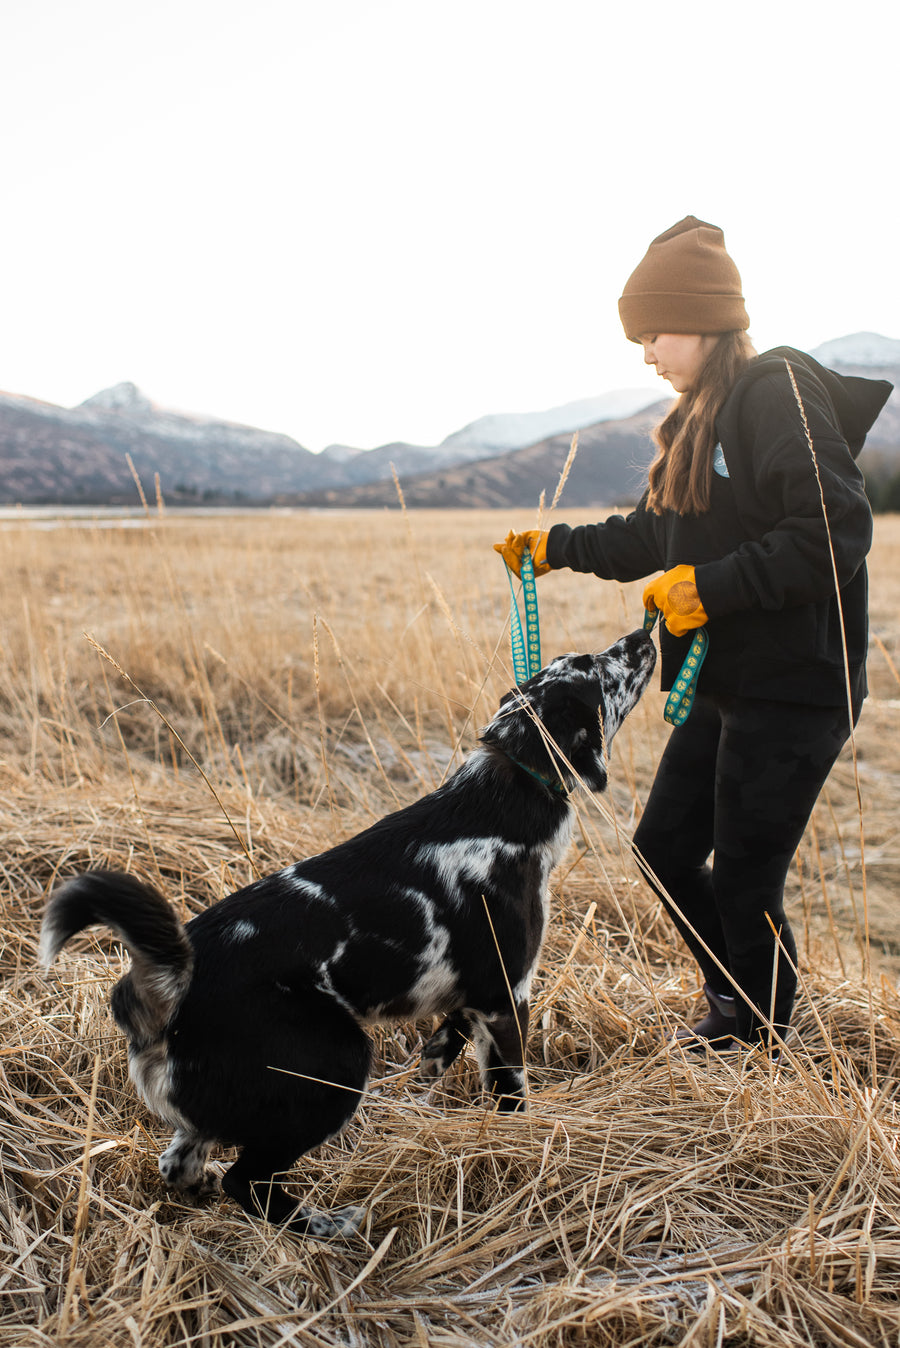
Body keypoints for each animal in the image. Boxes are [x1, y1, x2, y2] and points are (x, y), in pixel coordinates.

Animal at [40, 628, 654, 1234]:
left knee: (181, 1165)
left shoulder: (472, 994)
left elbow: (444, 1045)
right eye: (597, 667)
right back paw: (328, 1225)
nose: (643, 635)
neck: (506, 793)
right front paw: (520, 1147)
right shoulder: (507, 996)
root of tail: (170, 985)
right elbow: (513, 1092)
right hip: (337, 1062)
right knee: (250, 1182)